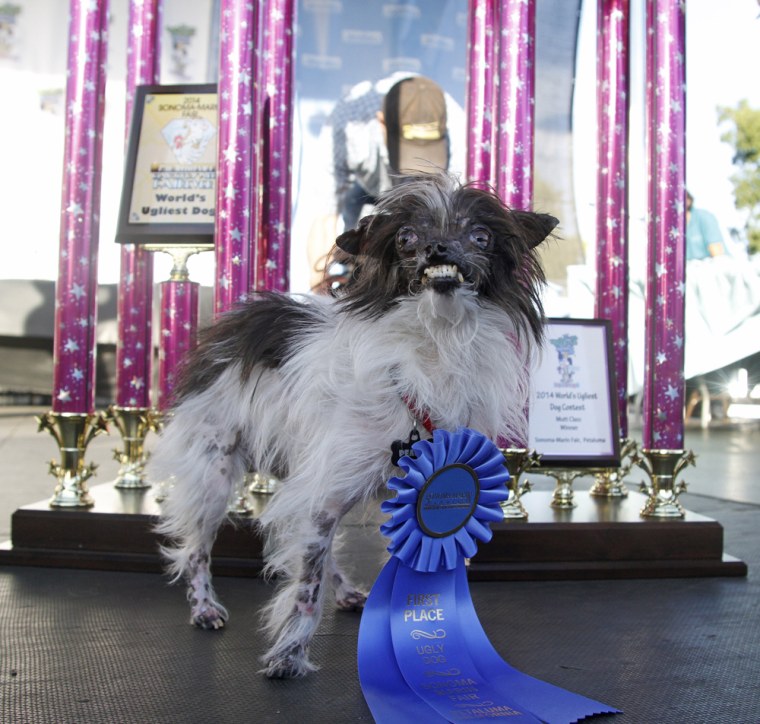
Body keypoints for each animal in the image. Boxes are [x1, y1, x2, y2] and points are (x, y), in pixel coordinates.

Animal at [151, 174, 560, 680]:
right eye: (406, 238)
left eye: (481, 236)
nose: (438, 248)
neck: (435, 344)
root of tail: (232, 325)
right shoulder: (322, 496)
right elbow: (305, 589)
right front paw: (289, 654)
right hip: (215, 473)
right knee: (196, 548)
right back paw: (204, 606)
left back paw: (344, 592)